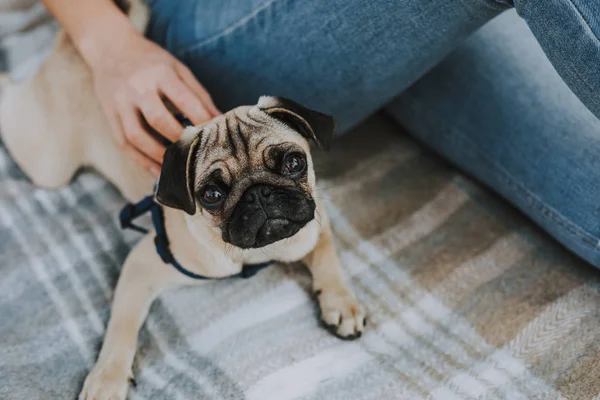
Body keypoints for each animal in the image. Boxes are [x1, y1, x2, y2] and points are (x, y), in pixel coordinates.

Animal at [0, 0, 366, 398]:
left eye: (294, 163)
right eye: (212, 194)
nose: (260, 194)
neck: (260, 252)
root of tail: (73, 49)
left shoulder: (314, 220)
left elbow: (326, 255)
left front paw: (341, 301)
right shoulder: (142, 265)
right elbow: (121, 327)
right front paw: (107, 378)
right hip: (47, 164)